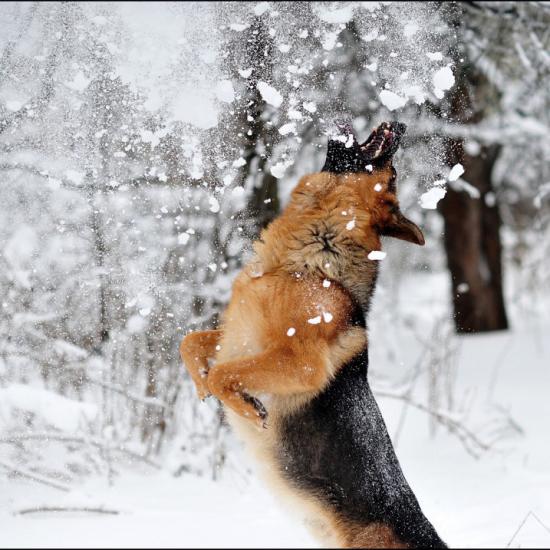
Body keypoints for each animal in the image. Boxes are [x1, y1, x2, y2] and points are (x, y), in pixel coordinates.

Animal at [181, 123, 448, 548]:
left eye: (393, 176)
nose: (401, 126)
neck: (309, 262)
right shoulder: (238, 335)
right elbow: (190, 343)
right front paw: (202, 384)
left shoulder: (301, 364)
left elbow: (225, 374)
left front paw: (245, 408)